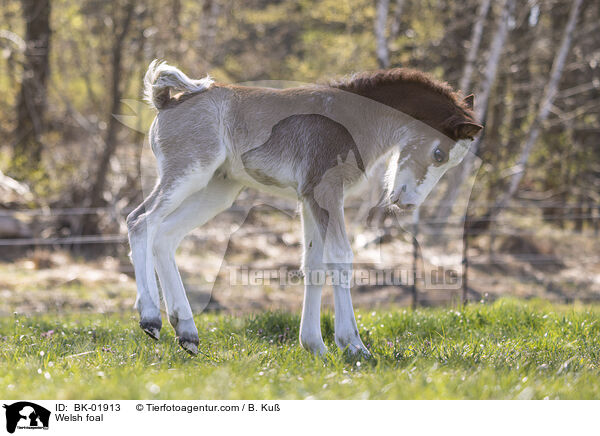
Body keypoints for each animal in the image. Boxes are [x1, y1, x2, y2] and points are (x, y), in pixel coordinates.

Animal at [127, 60, 482, 354]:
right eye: (439, 154)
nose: (406, 201)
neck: (355, 118)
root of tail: (166, 100)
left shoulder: (309, 198)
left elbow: (313, 264)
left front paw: (315, 347)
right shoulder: (327, 191)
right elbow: (340, 257)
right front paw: (353, 345)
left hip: (217, 190)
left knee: (165, 236)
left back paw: (186, 331)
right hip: (189, 173)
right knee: (140, 221)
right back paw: (151, 318)